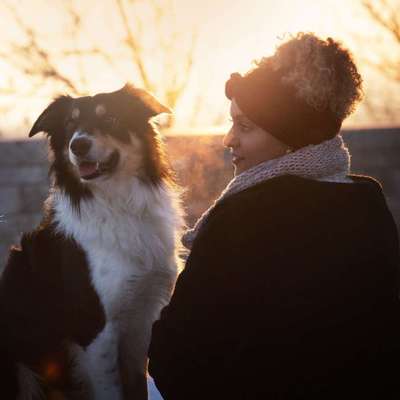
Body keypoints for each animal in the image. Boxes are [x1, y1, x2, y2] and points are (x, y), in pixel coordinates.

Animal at [0, 84, 184, 400]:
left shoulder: (142, 317)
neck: (119, 204)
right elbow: (112, 390)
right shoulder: (96, 328)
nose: (78, 145)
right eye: (69, 125)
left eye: (109, 118)